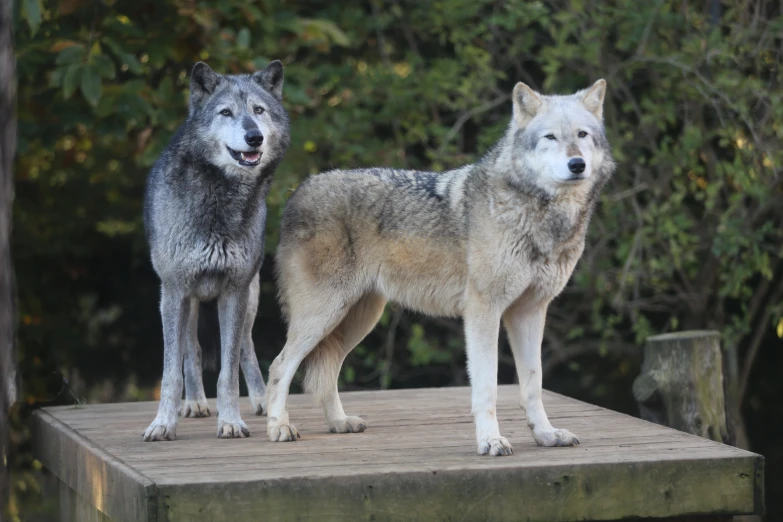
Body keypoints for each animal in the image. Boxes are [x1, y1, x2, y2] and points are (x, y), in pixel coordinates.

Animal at [142, 60, 290, 438]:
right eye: (226, 112)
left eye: (258, 110)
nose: (255, 137)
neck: (221, 199)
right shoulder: (175, 292)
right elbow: (171, 372)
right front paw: (163, 424)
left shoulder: (234, 291)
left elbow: (228, 372)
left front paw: (231, 421)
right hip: (186, 302)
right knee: (191, 351)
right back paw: (194, 404)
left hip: (249, 301)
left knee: (247, 349)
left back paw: (261, 401)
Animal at [266, 78, 616, 456]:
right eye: (550, 137)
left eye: (582, 134)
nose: (577, 164)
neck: (538, 214)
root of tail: (298, 190)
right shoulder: (483, 311)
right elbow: (487, 387)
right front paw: (490, 441)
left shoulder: (530, 312)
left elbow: (533, 384)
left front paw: (546, 435)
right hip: (323, 315)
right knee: (279, 366)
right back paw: (279, 428)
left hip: (357, 320)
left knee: (327, 370)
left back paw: (339, 422)